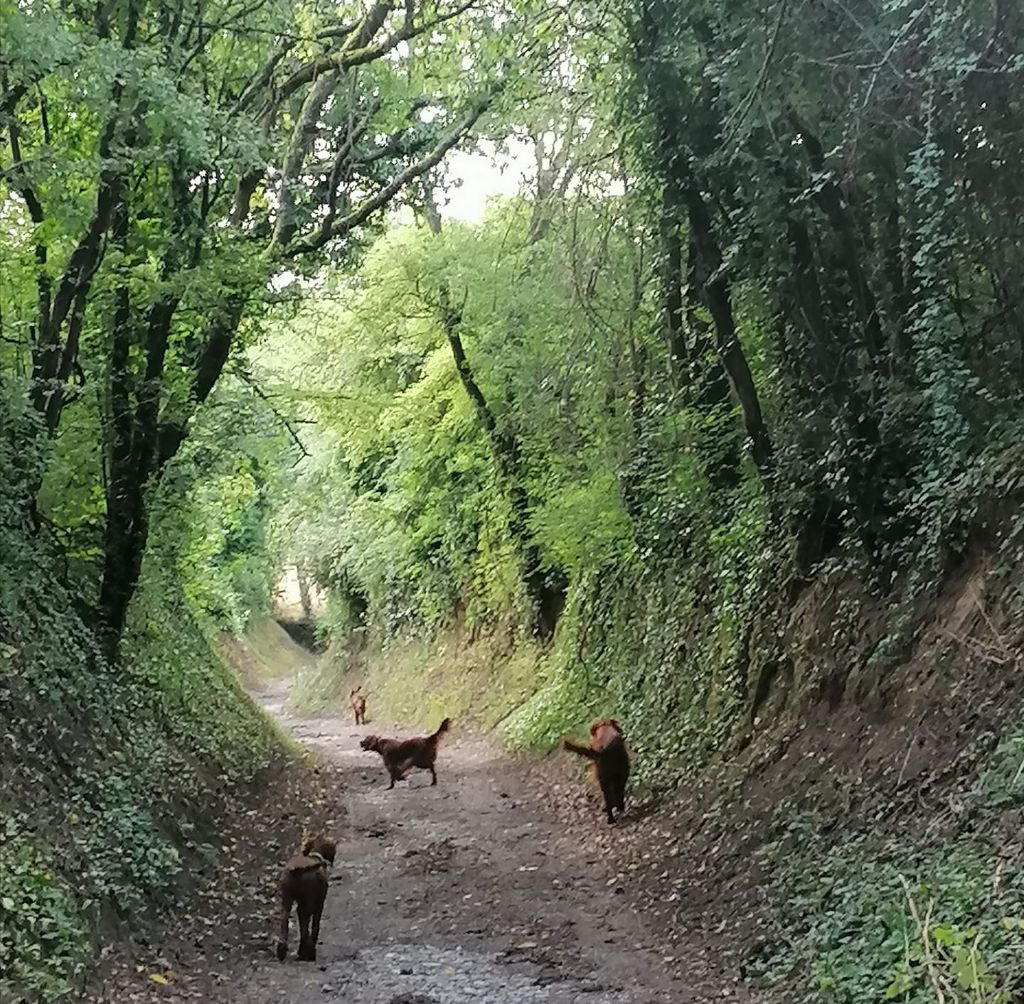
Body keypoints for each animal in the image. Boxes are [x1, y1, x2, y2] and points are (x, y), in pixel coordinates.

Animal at [276, 831, 335, 963]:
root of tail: (298, 870)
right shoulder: (319, 904)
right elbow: (314, 927)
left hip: (286, 899)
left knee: (284, 921)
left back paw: (282, 950)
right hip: (308, 902)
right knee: (306, 927)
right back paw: (306, 952)